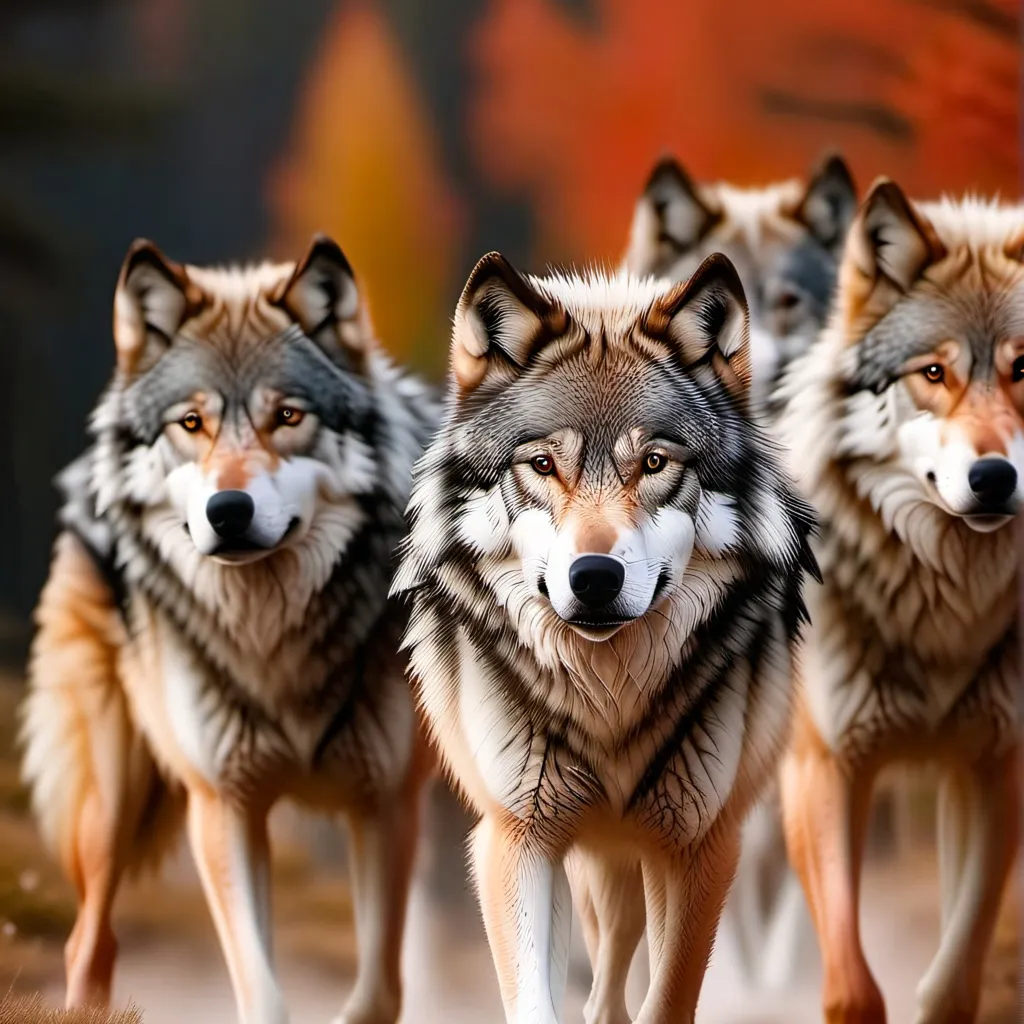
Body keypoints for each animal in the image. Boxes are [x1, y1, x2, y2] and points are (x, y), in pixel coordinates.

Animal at [20, 236, 437, 1024]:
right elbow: (263, 992)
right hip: (114, 802)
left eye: (288, 416)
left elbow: (380, 989)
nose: (229, 510)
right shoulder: (225, 806)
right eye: (192, 424)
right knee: (87, 942)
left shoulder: (388, 804)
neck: (272, 637)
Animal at [393, 250, 817, 1024]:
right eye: (541, 465)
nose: (594, 577)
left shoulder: (697, 845)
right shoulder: (518, 836)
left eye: (654, 464)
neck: (607, 698)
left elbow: (666, 998)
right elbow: (538, 998)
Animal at [777, 181, 1023, 1024]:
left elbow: (952, 980)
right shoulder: (825, 768)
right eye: (934, 373)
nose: (995, 478)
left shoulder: (994, 770)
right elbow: (851, 988)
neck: (943, 610)